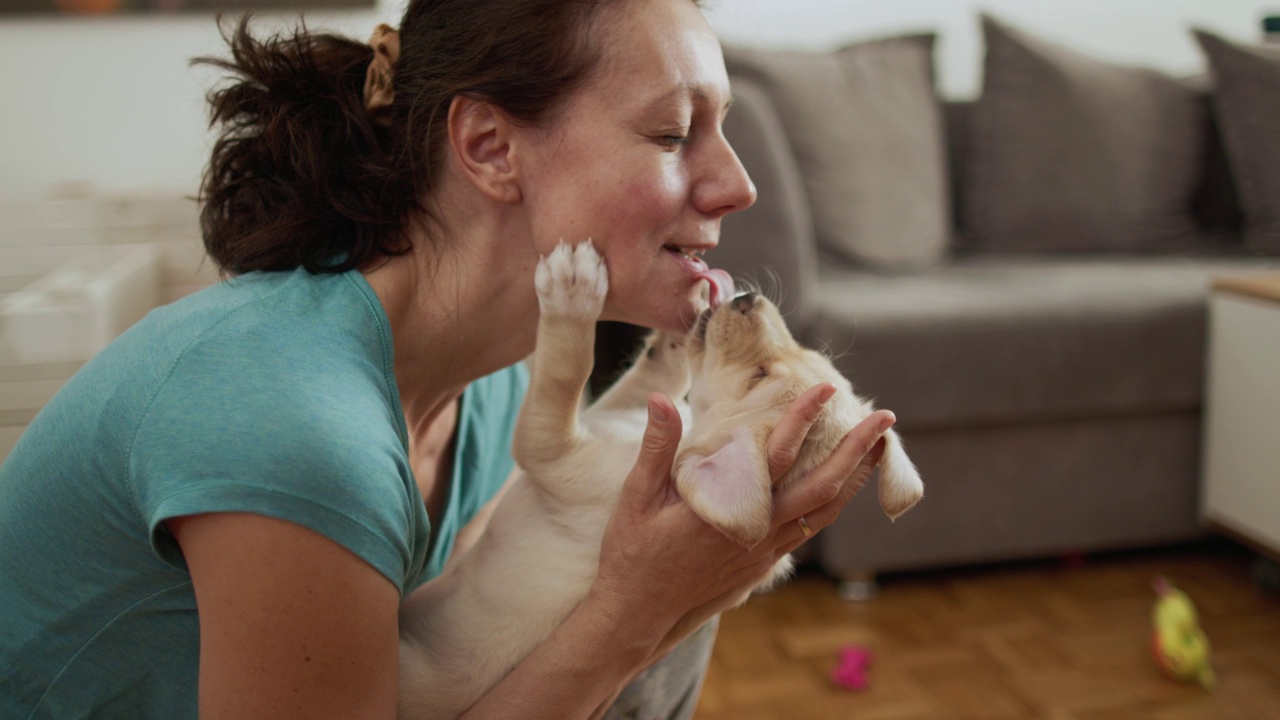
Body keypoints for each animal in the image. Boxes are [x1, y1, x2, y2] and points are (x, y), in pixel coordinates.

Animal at [396, 238, 921, 712]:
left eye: (760, 376)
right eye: (807, 354)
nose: (747, 298)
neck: (693, 434)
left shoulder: (552, 448)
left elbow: (566, 370)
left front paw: (573, 294)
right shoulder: (634, 414)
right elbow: (652, 379)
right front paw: (679, 325)